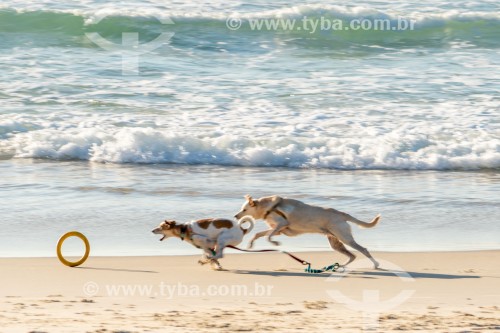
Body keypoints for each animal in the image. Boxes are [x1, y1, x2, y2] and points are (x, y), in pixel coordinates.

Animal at [233, 195, 378, 268]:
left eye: (244, 210)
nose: (235, 216)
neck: (270, 208)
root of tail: (342, 214)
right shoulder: (279, 229)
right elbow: (259, 234)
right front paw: (251, 244)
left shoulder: (282, 225)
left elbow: (268, 237)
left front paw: (275, 244)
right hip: (335, 242)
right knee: (352, 256)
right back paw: (341, 266)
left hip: (345, 238)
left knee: (363, 250)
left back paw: (376, 264)